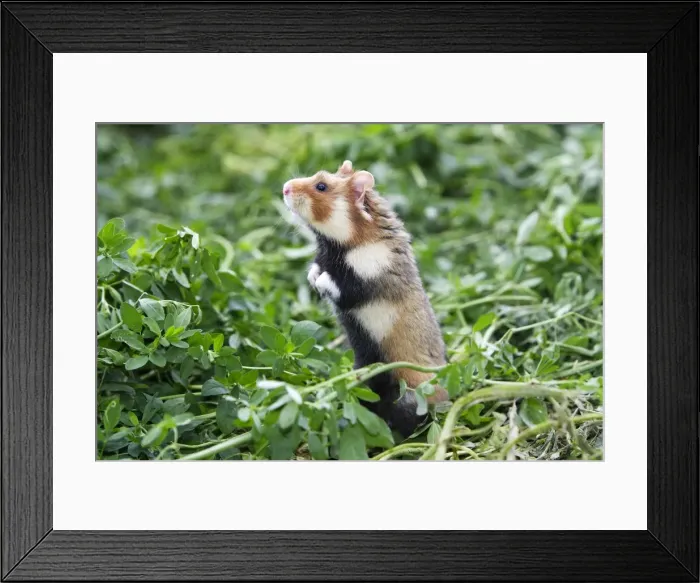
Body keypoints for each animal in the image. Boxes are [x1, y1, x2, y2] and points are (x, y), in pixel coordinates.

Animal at [282, 160, 448, 437]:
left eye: (321, 186)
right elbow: (317, 267)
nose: (285, 187)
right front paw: (312, 277)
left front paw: (320, 282)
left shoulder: (365, 280)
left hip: (408, 391)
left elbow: (337, 285)